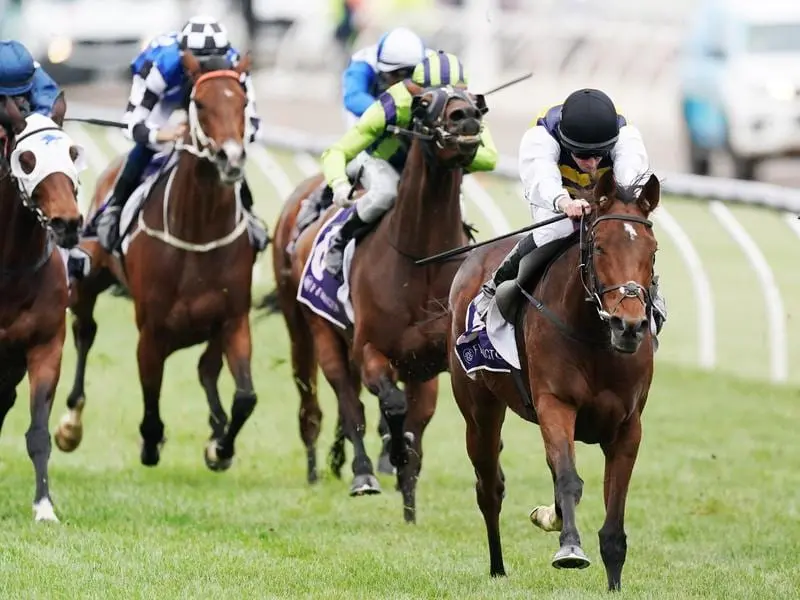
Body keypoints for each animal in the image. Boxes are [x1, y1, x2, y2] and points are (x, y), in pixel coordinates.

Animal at [53, 51, 258, 472]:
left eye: (243, 102)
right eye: (200, 104)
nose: (231, 158)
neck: (198, 232)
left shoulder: (233, 319)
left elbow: (245, 396)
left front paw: (221, 447)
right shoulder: (152, 330)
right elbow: (150, 400)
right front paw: (152, 443)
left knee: (207, 368)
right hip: (88, 280)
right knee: (84, 332)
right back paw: (71, 423)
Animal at [276, 84, 488, 520]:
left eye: (473, 97)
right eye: (424, 102)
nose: (465, 117)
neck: (421, 258)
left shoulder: (429, 363)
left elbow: (418, 423)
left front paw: (409, 496)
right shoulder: (370, 349)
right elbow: (390, 406)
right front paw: (394, 459)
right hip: (320, 334)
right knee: (348, 403)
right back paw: (361, 473)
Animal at [446, 170, 660, 592]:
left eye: (653, 251)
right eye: (599, 247)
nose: (628, 326)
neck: (596, 340)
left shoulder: (628, 425)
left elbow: (614, 509)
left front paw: (614, 583)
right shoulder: (556, 405)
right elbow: (569, 480)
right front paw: (570, 549)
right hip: (478, 408)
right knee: (489, 486)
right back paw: (498, 566)